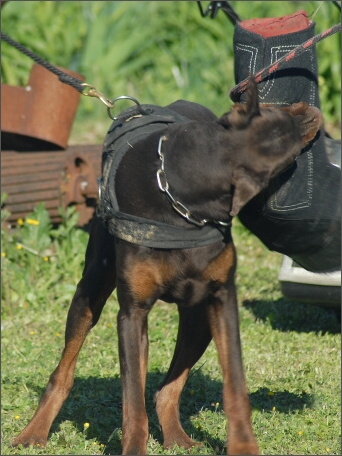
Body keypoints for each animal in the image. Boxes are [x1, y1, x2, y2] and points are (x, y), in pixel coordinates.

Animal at [13, 83, 322, 454]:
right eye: (274, 114)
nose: (311, 109)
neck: (185, 195)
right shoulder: (132, 313)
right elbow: (132, 399)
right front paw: (133, 448)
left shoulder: (223, 299)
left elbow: (235, 383)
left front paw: (243, 446)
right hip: (91, 289)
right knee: (66, 368)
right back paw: (33, 432)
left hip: (198, 318)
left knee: (166, 389)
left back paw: (177, 437)